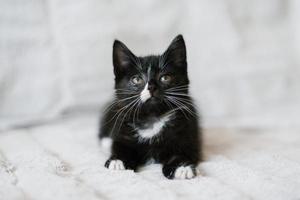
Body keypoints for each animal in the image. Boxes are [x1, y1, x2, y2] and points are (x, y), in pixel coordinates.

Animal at [99, 34, 202, 180]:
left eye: (165, 77)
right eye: (136, 79)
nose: (152, 87)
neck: (152, 117)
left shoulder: (187, 133)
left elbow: (182, 151)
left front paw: (181, 167)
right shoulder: (123, 130)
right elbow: (120, 146)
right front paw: (118, 161)